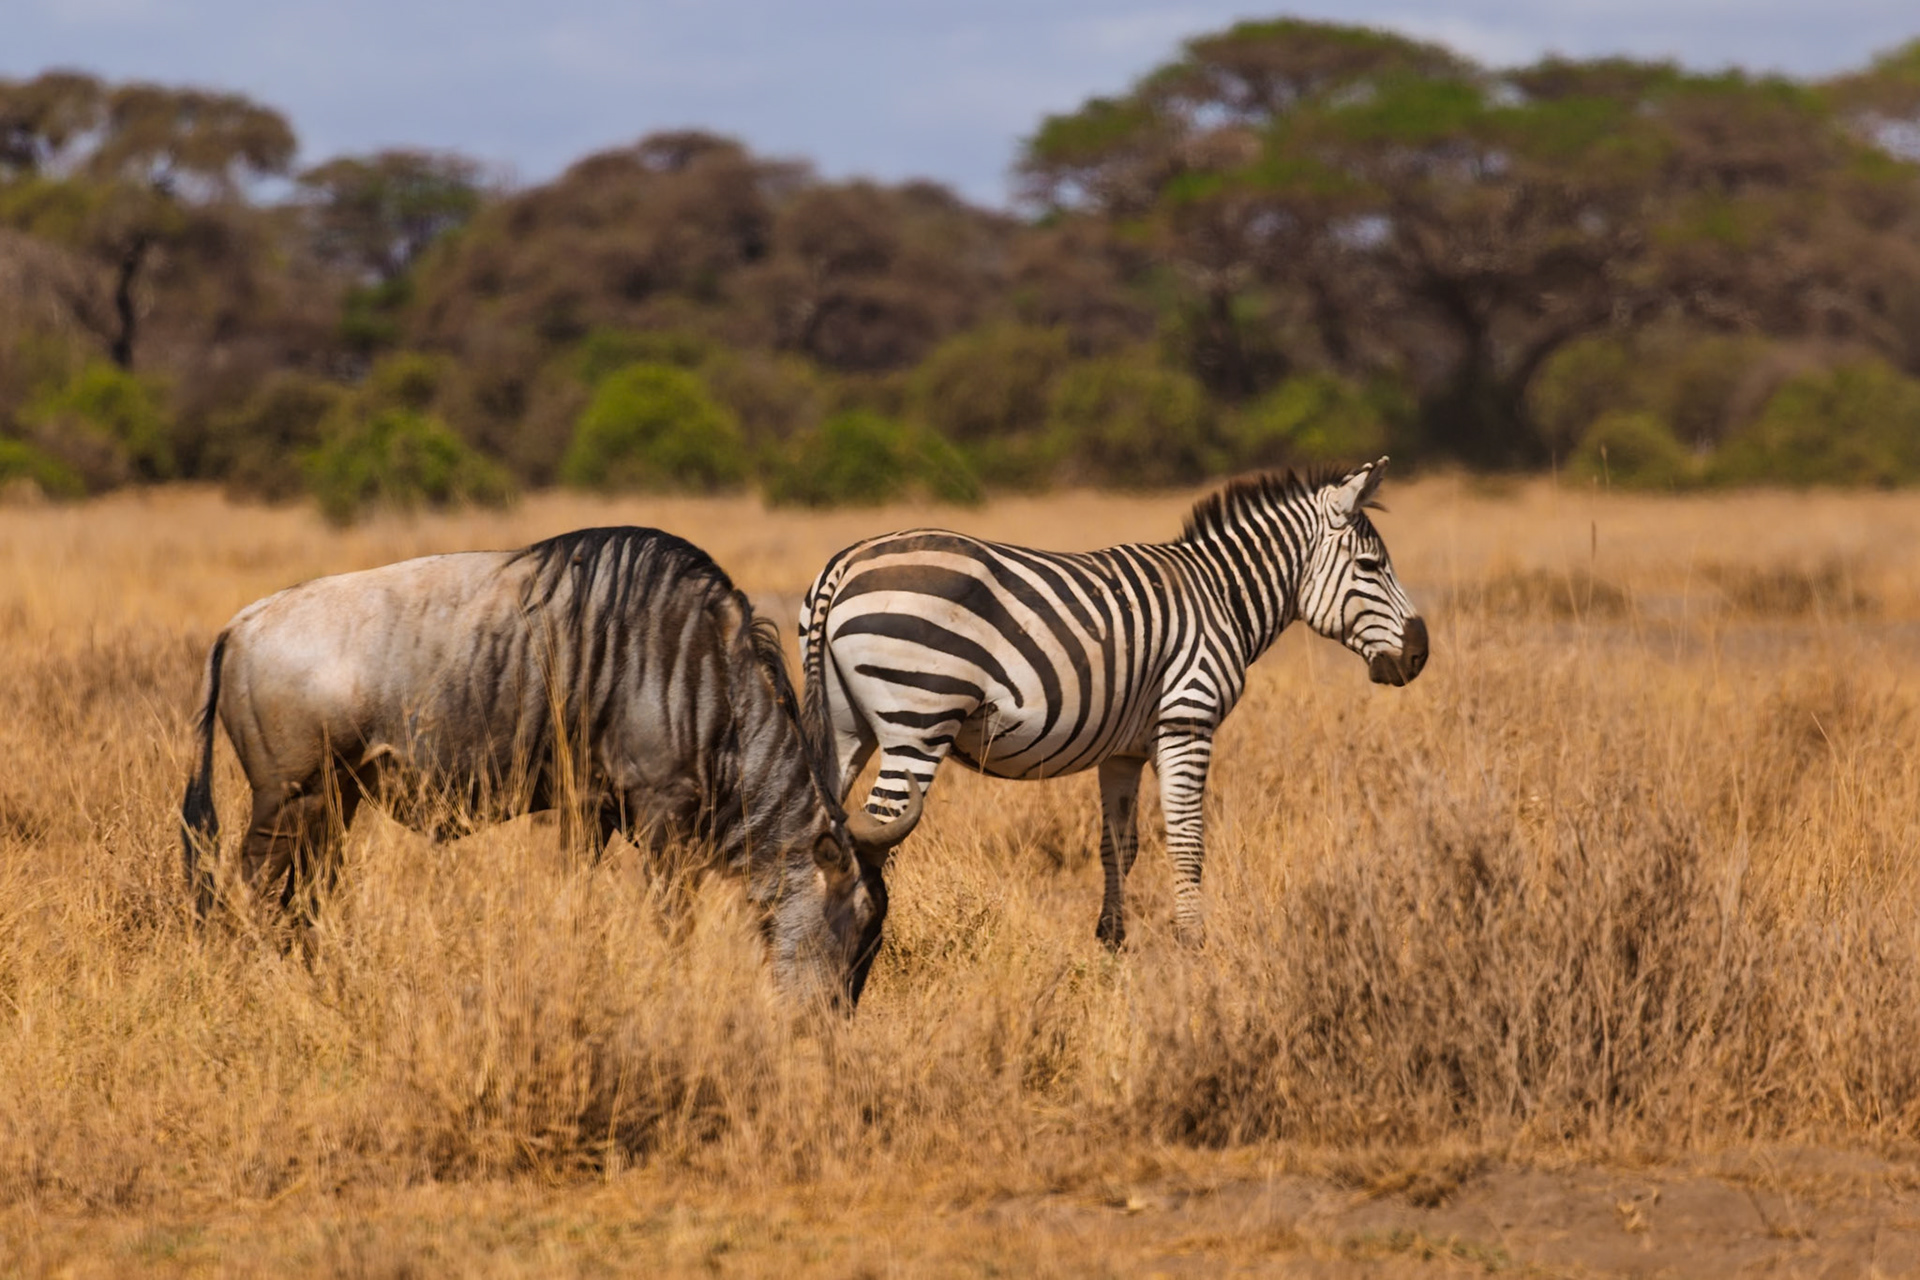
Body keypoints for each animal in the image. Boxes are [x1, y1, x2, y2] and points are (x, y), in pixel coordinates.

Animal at [180, 526, 921, 1005]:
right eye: (855, 930)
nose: (822, 1029)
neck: (701, 675)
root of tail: (240, 624)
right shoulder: (663, 821)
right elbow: (670, 922)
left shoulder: (589, 812)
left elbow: (576, 903)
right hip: (289, 800)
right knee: (251, 890)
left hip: (335, 802)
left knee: (305, 897)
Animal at [797, 458, 1426, 946]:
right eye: (1370, 566)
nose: (1419, 654)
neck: (1221, 596)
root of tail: (844, 564)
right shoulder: (1187, 721)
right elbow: (1187, 839)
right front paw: (1193, 943)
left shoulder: (1122, 751)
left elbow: (1118, 845)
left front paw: (1112, 940)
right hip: (918, 721)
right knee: (878, 832)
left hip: (846, 727)